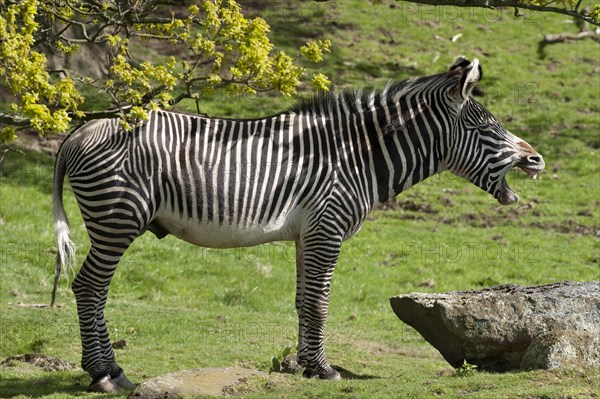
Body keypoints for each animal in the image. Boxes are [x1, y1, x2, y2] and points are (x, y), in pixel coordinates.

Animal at [52, 57, 544, 394]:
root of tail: (81, 131)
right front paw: (325, 369)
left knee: (90, 288)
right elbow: (320, 303)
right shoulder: (328, 228)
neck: (356, 156)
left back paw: (110, 370)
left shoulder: (309, 234)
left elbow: (304, 302)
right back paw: (104, 374)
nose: (537, 159)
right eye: (486, 128)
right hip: (117, 218)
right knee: (89, 288)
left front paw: (308, 365)